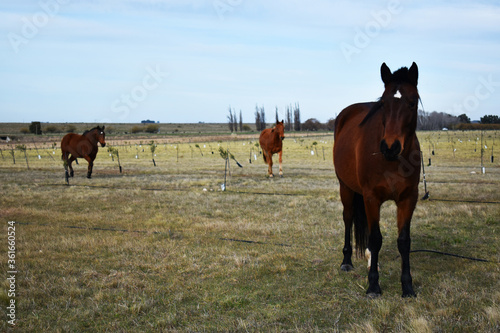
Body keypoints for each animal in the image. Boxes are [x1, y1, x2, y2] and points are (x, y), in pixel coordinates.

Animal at [334, 63, 420, 296]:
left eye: (412, 102)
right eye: (383, 103)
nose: (390, 147)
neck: (392, 161)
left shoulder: (408, 198)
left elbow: (404, 241)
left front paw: (407, 286)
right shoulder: (371, 197)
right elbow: (375, 238)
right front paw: (373, 285)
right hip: (345, 188)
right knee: (348, 218)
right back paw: (347, 261)